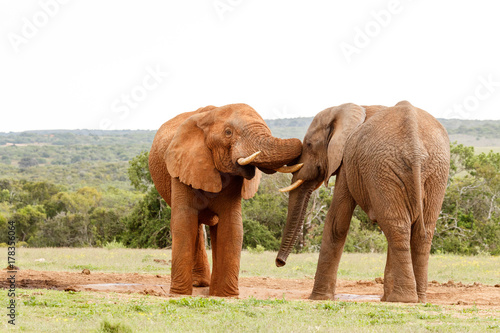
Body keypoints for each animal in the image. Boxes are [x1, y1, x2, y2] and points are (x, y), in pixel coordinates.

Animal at [148, 103, 302, 296]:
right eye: (228, 132)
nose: (279, 263)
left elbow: (232, 225)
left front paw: (225, 295)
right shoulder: (182, 166)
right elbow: (183, 222)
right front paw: (178, 294)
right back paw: (199, 284)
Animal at [276, 100, 452, 300]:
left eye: (309, 144)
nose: (280, 262)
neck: (349, 108)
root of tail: (414, 147)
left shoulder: (346, 160)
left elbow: (337, 222)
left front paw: (318, 298)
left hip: (384, 168)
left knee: (397, 226)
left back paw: (403, 299)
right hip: (433, 171)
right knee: (419, 230)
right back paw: (415, 299)